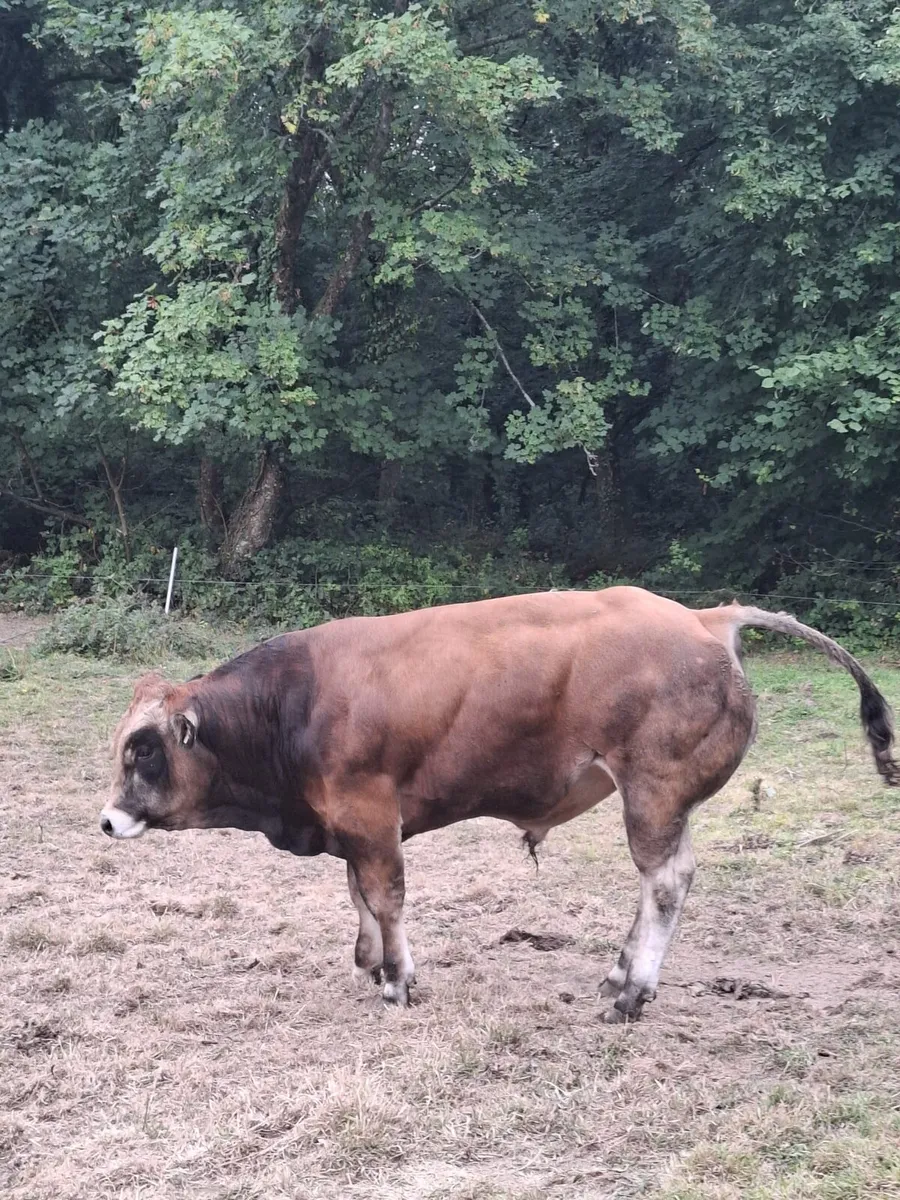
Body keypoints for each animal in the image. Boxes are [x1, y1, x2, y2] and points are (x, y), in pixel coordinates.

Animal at [99, 587, 898, 1022]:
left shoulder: (371, 815)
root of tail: (705, 619)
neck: (291, 704)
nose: (106, 819)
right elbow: (358, 896)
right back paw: (618, 973)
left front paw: (397, 981)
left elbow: (385, 897)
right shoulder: (349, 827)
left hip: (653, 795)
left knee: (665, 883)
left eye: (144, 749)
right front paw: (369, 964)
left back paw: (632, 993)